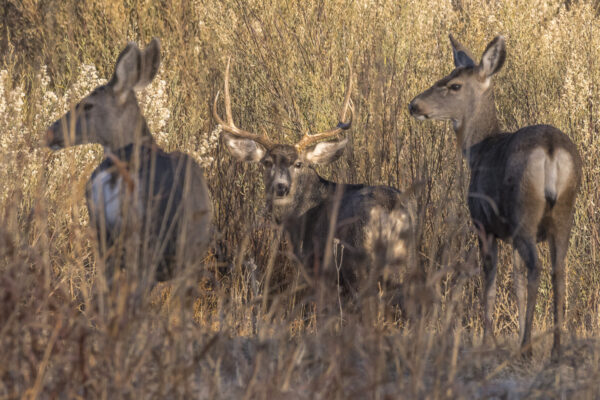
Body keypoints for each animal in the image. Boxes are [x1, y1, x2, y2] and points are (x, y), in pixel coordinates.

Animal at [213, 59, 410, 296]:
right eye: (267, 163)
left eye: (299, 164)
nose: (281, 187)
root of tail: (391, 210)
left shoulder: (315, 265)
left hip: (358, 261)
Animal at [408, 35, 580, 360]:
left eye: (454, 85)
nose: (414, 105)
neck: (478, 150)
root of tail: (551, 150)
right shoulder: (509, 234)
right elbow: (516, 282)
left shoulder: (484, 224)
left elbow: (490, 280)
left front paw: (487, 341)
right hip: (563, 213)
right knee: (558, 272)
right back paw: (556, 347)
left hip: (525, 212)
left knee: (536, 268)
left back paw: (527, 347)